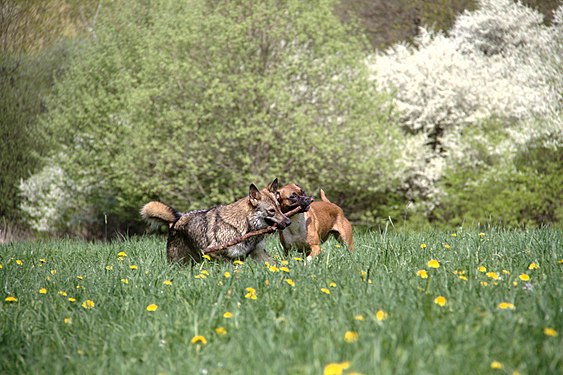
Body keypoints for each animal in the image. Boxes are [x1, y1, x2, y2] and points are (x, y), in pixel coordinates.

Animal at [141, 180, 352, 264]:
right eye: (271, 211)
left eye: (279, 207)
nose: (309, 200)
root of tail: (176, 219)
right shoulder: (219, 255)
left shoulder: (259, 252)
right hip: (180, 257)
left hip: (345, 240)